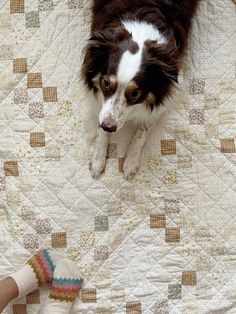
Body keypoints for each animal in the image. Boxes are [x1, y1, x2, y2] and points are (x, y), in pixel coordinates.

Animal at [81, 0, 199, 179]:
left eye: (135, 94)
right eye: (106, 83)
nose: (109, 127)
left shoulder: (162, 100)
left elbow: (142, 131)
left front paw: (131, 162)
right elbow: (100, 125)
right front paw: (97, 160)